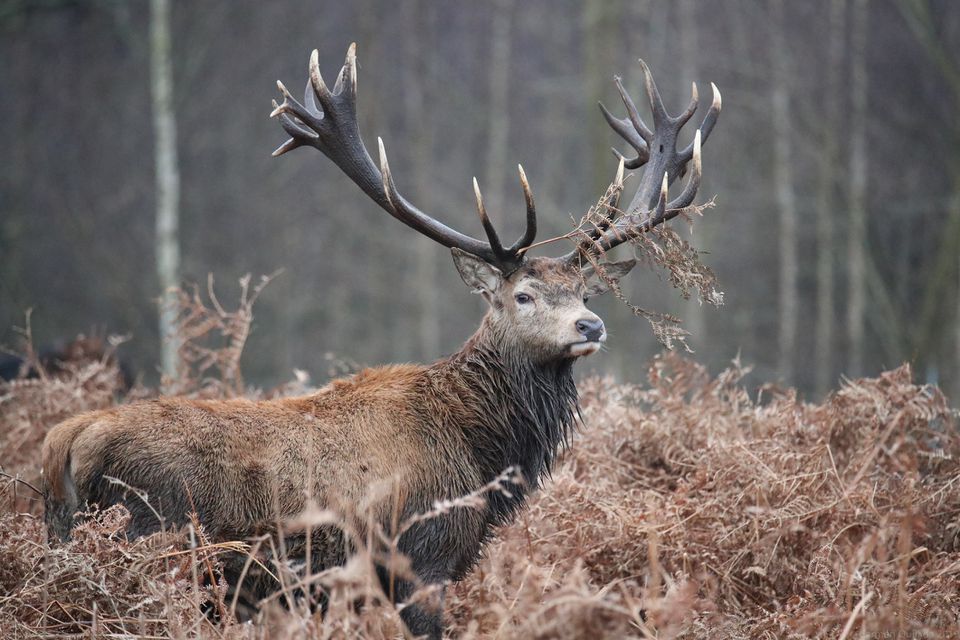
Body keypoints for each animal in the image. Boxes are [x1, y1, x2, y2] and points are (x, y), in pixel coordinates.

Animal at [43, 42, 720, 636]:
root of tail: (65, 442)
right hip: (151, 541)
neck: (483, 452)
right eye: (522, 295)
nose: (590, 326)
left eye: (585, 293)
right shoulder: (418, 556)